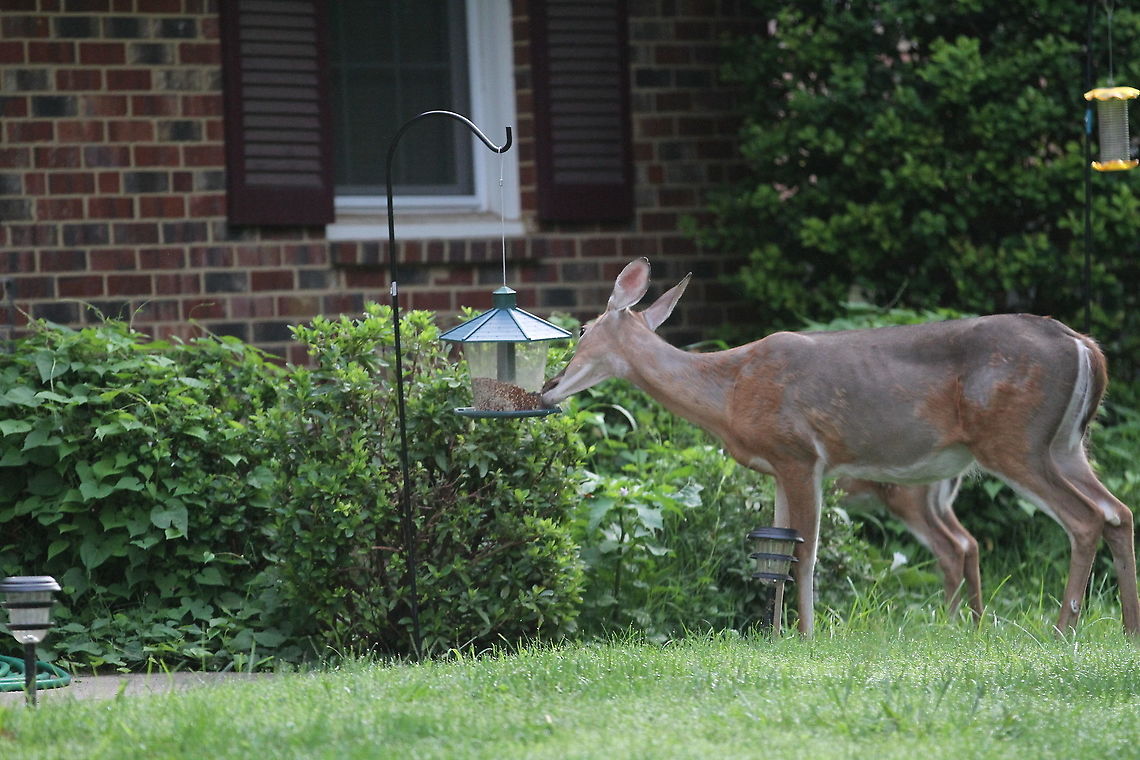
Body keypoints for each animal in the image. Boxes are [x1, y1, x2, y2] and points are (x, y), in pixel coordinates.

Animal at [541, 257, 1140, 637]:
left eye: (582, 330)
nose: (549, 385)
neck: (728, 391)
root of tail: (1085, 345)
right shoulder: (778, 467)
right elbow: (778, 552)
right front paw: (775, 635)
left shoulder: (800, 453)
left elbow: (805, 553)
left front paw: (805, 636)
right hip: (1064, 445)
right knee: (1117, 511)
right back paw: (1127, 629)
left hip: (1015, 439)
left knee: (1084, 518)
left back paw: (1062, 630)